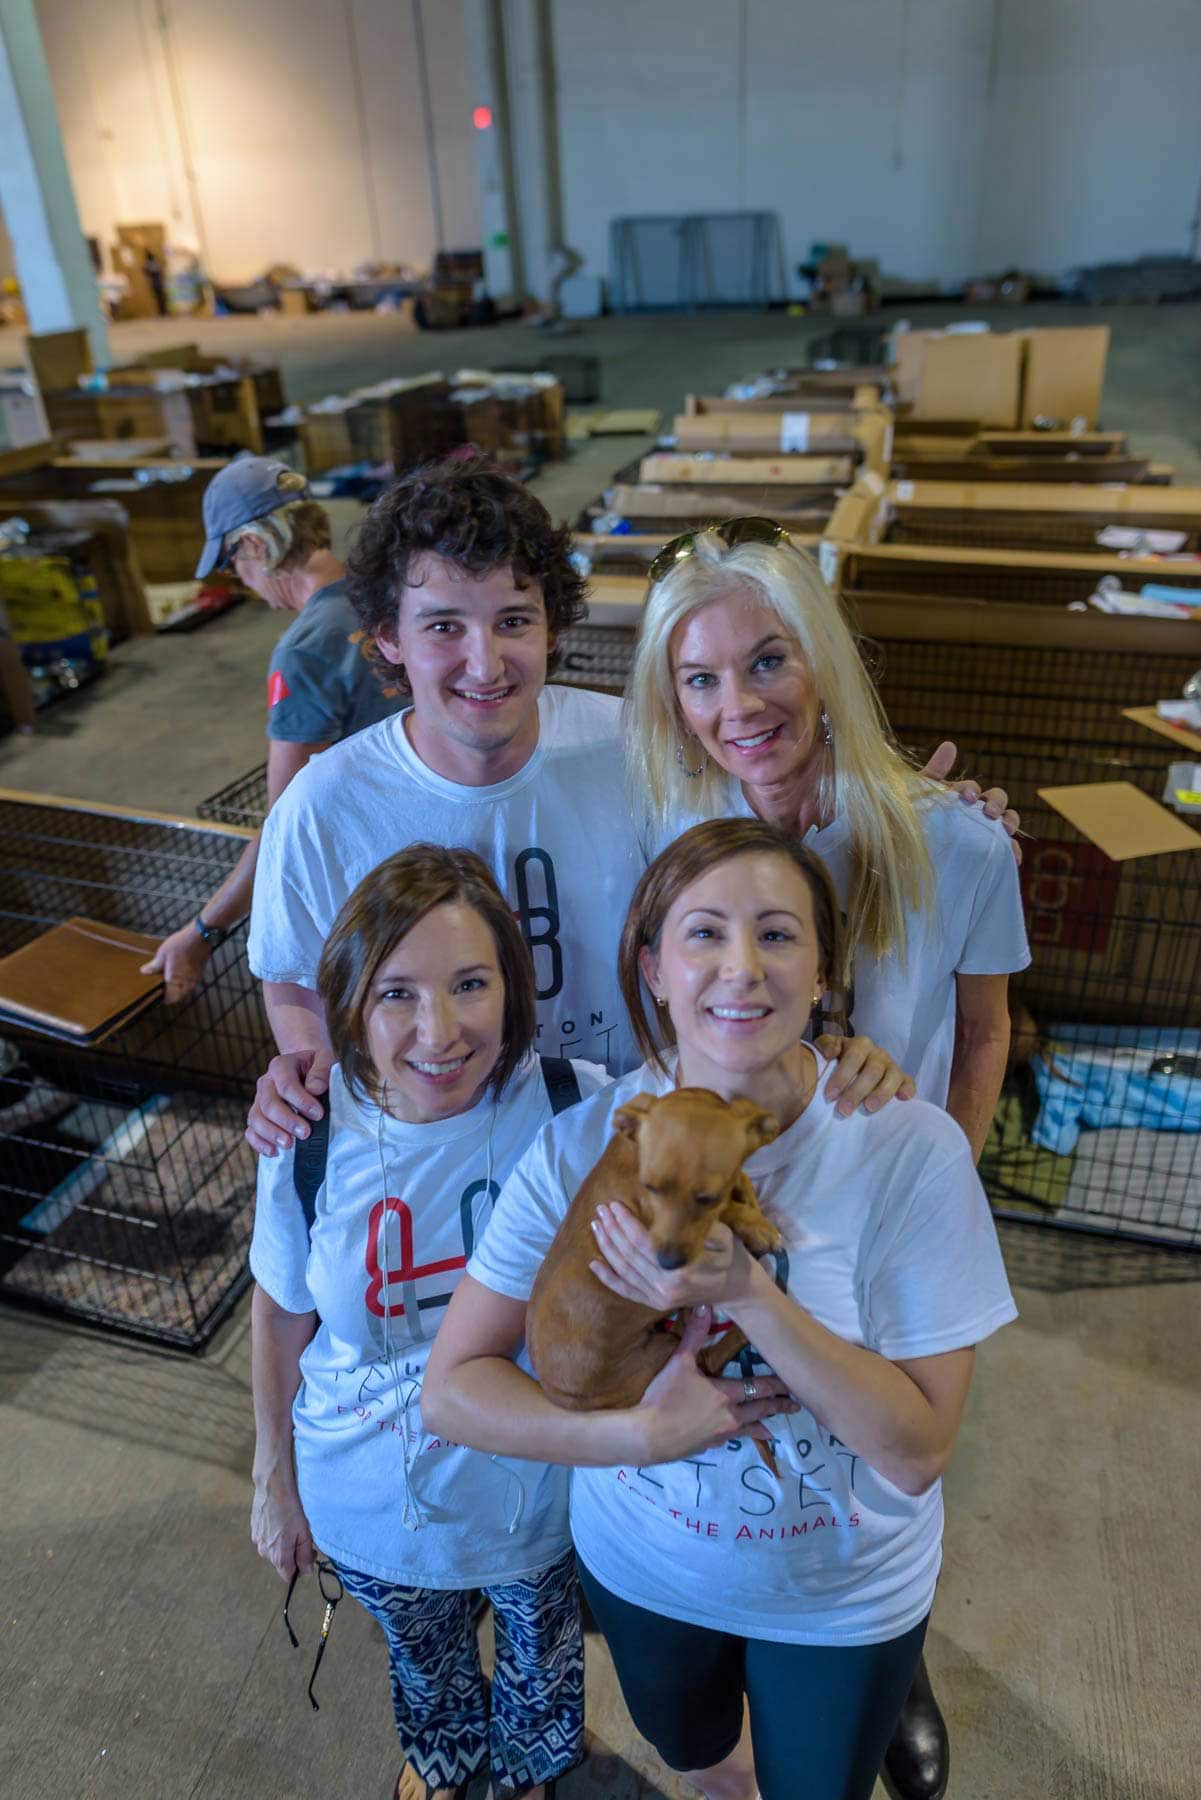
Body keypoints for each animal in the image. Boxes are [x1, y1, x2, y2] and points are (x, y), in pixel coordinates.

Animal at [525, 1080, 781, 1418]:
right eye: (650, 1187)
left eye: (707, 1198)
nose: (668, 1262)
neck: (633, 1157)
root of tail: (557, 1395)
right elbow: (731, 1211)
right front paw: (756, 1225)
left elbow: (740, 1182)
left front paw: (750, 1201)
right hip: (665, 1350)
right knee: (708, 1357)